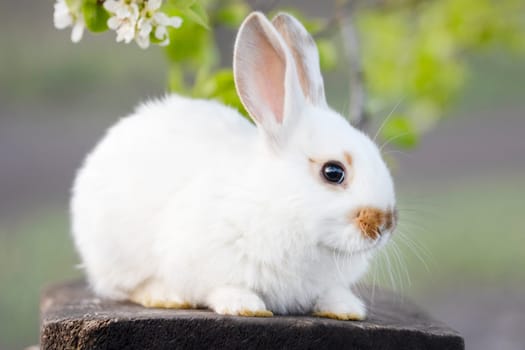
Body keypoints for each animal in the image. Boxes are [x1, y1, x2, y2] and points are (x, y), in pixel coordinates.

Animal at [71, 12, 396, 320]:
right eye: (333, 172)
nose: (384, 224)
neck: (276, 203)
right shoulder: (201, 261)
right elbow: (224, 287)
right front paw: (247, 307)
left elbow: (330, 294)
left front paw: (347, 309)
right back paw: (165, 296)